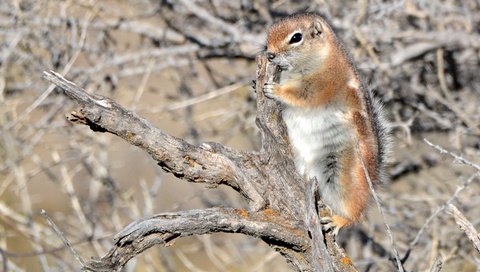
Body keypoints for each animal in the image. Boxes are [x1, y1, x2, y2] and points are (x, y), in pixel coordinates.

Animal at [262, 12, 390, 234]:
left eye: (296, 37)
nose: (270, 54)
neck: (322, 58)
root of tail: (372, 180)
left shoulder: (323, 86)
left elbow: (300, 96)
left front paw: (275, 90)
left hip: (342, 174)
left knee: (356, 212)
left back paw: (338, 220)